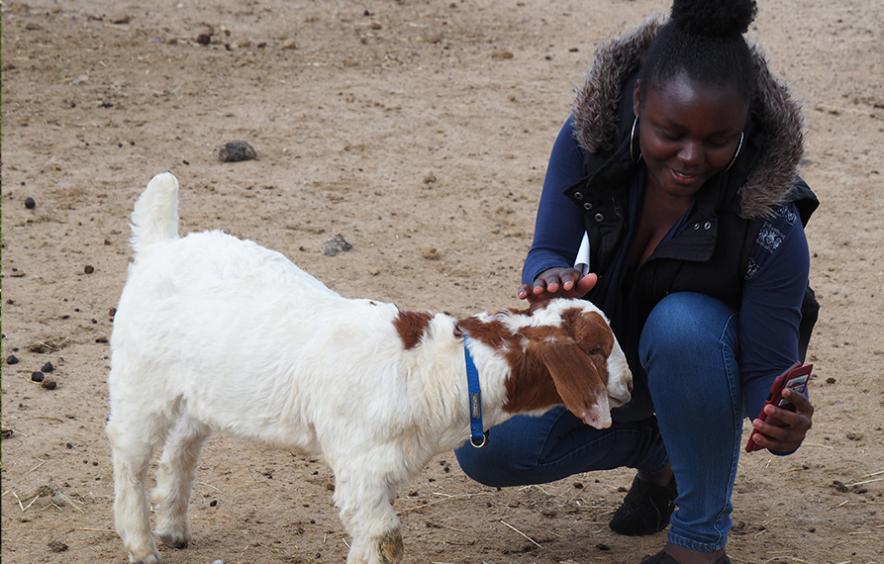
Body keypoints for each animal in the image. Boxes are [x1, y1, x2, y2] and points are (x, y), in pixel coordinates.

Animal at [107, 173, 632, 564]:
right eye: (598, 348)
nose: (630, 384)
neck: (434, 369)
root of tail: (160, 246)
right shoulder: (360, 466)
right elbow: (385, 540)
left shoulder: (381, 473)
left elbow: (371, 539)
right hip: (138, 382)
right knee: (130, 460)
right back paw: (142, 544)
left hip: (198, 390)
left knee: (182, 446)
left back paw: (173, 526)